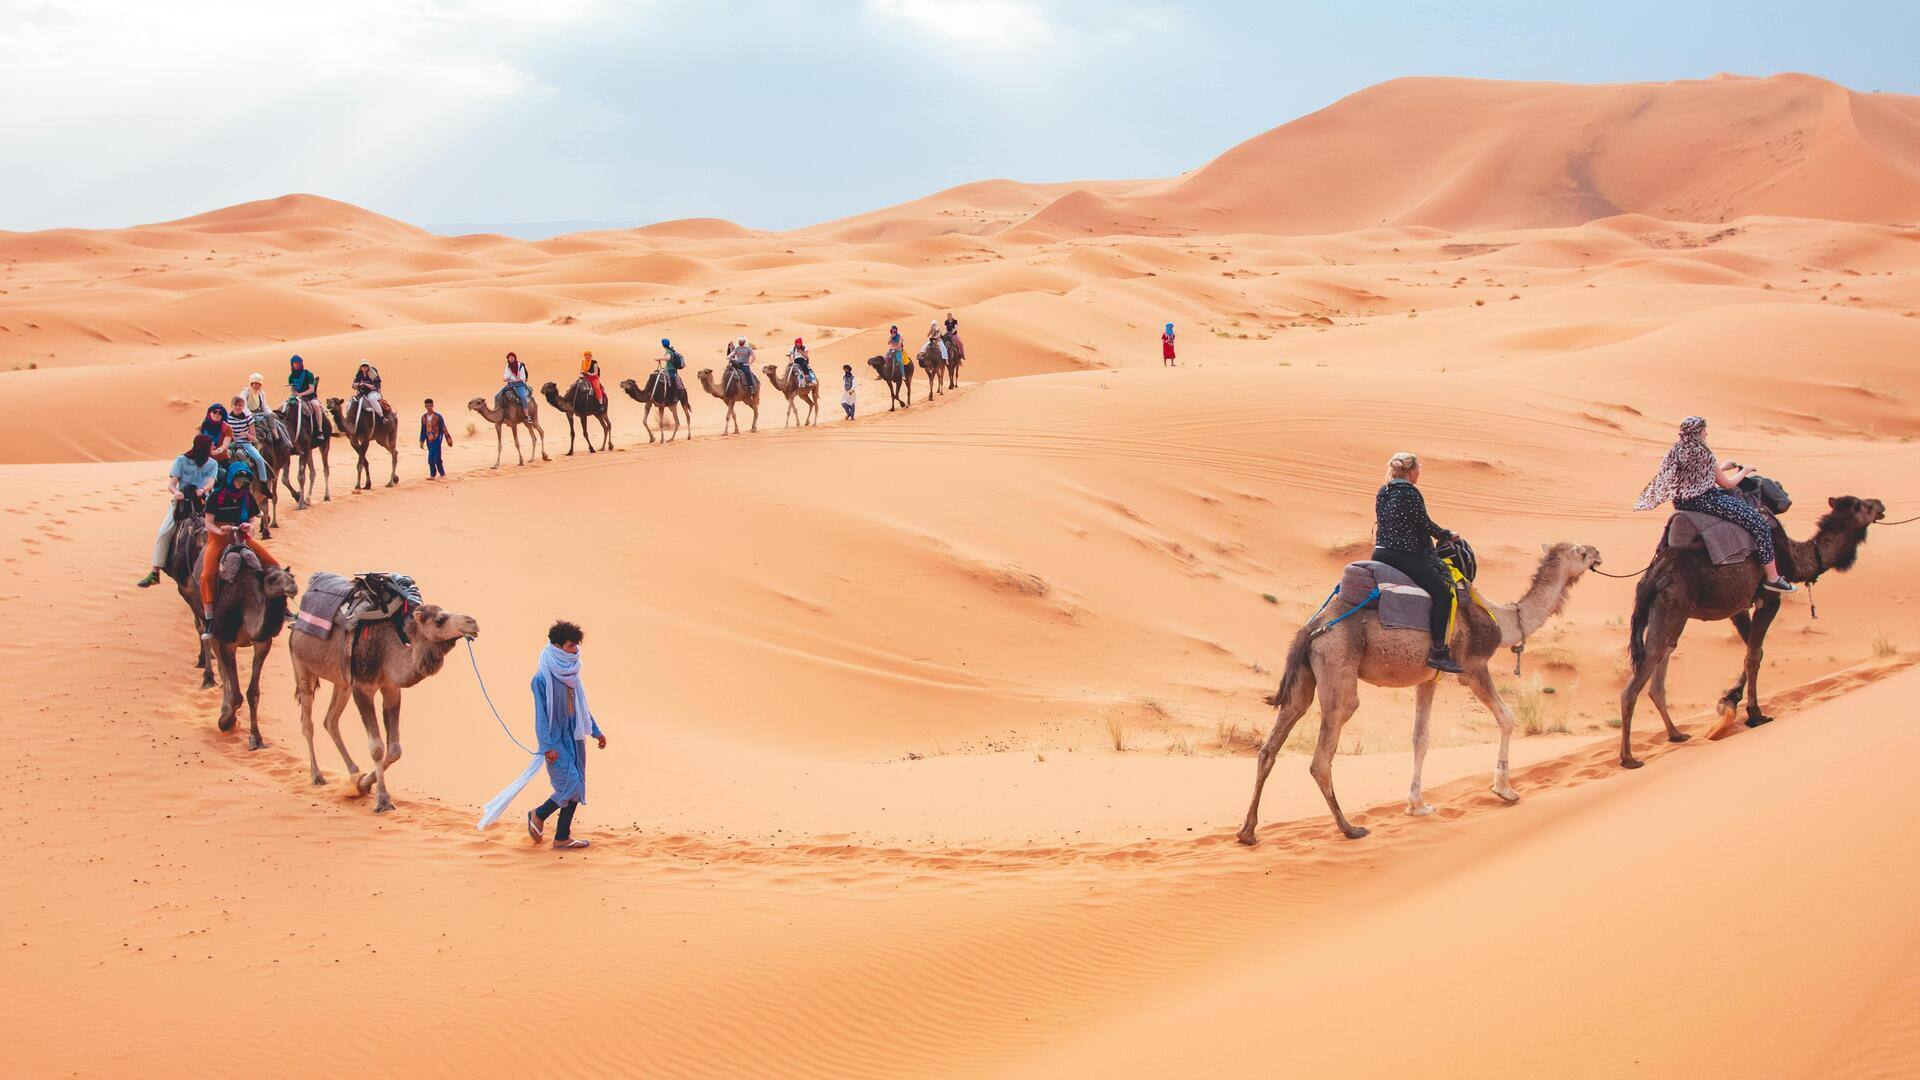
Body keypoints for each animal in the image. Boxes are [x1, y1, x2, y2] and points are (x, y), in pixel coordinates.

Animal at [204, 538, 297, 749]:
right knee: (221, 667)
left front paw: (256, 739)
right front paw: (227, 722)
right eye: (272, 579)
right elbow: (236, 693)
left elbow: (253, 693)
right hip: (211, 629)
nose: (293, 587)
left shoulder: (263, 642)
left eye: (291, 575)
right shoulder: (228, 641)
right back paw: (223, 709)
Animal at [286, 591, 478, 810]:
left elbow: (395, 750)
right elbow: (377, 748)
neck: (386, 652)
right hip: (302, 666)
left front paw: (362, 784)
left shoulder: (391, 688)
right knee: (307, 721)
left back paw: (353, 772)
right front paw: (382, 800)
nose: (473, 622)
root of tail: (295, 623)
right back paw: (317, 775)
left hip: (342, 683)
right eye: (439, 620)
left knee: (330, 720)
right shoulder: (362, 688)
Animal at [1236, 538, 1597, 841]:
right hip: (1338, 661)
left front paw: (1417, 805)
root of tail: (1312, 628)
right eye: (1580, 551)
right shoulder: (1473, 667)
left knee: (1272, 744)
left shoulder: (1428, 678)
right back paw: (1350, 829)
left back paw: (1248, 831)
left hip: (1306, 676)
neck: (1505, 619)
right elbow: (1507, 717)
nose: (1597, 552)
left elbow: (1420, 738)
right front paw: (1505, 791)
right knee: (1324, 753)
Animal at [1620, 491, 1889, 760]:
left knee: (1661, 664)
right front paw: (1754, 714)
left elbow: (1752, 650)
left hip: (1667, 614)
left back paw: (1676, 735)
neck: (1795, 558)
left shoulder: (1738, 608)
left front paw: (1729, 701)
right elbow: (1754, 656)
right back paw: (1629, 758)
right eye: (1862, 505)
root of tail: (1652, 574)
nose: (1880, 504)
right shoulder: (1769, 599)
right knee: (1639, 678)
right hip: (1671, 608)